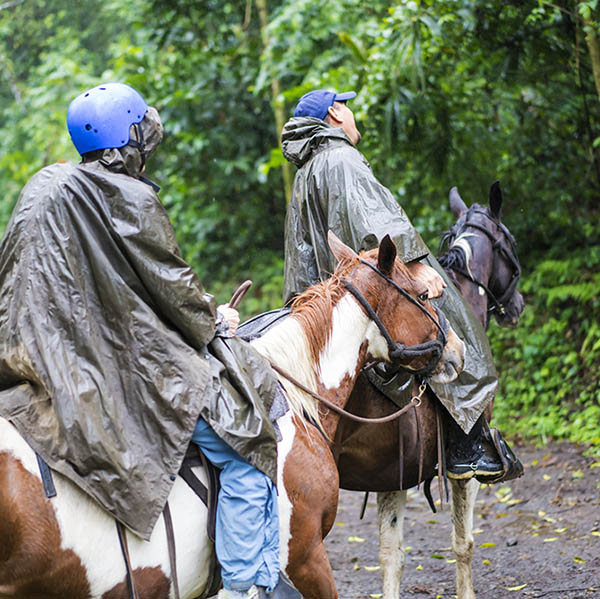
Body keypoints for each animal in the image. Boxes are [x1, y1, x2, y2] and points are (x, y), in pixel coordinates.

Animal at [336, 183, 524, 599]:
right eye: (511, 240)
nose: (518, 306)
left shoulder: (391, 476)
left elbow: (391, 555)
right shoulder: (463, 472)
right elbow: (463, 543)